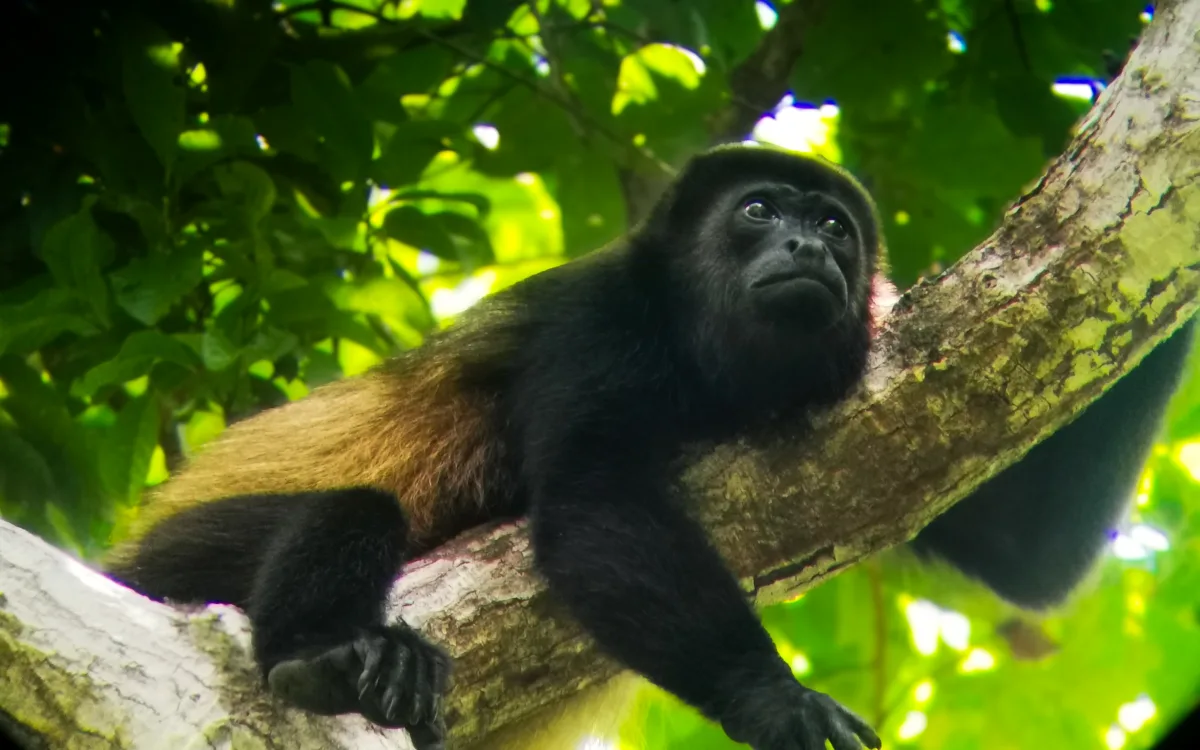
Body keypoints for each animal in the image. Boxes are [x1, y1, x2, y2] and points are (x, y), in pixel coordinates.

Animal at [105, 143, 888, 750]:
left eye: (834, 225)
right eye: (758, 211)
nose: (810, 247)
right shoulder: (596, 318)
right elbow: (592, 504)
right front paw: (771, 695)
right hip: (172, 560)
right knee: (351, 510)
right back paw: (318, 660)